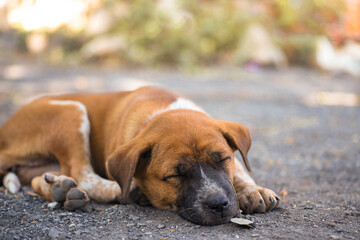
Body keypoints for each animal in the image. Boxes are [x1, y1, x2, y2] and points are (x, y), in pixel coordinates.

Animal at [0, 87, 280, 226]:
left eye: (222, 159)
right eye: (174, 175)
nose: (219, 204)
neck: (163, 110)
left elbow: (240, 171)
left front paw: (253, 190)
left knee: (40, 179)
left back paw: (60, 188)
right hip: (70, 112)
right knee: (83, 173)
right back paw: (126, 191)